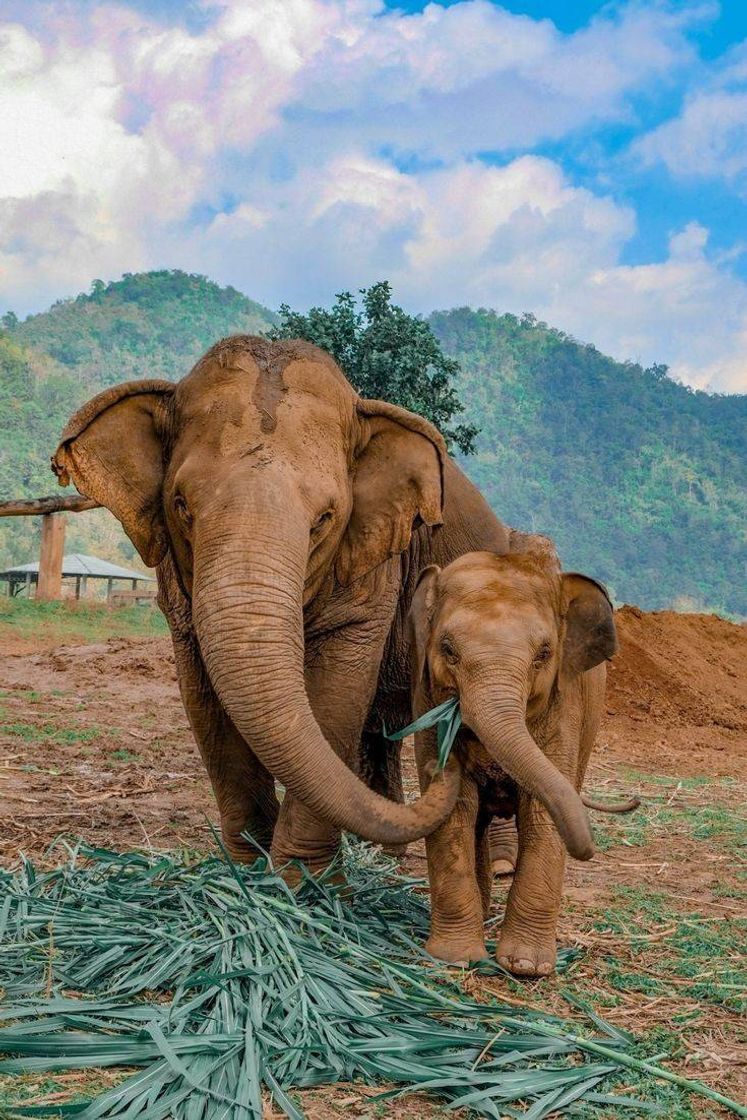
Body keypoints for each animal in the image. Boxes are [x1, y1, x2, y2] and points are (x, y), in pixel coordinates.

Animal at [49, 336, 591, 869]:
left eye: (324, 519)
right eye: (181, 506)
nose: (444, 772)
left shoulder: (373, 564)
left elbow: (336, 693)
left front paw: (303, 881)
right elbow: (203, 698)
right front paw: (247, 871)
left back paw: (493, 864)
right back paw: (385, 854)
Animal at [412, 539, 618, 972]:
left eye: (544, 653)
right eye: (447, 650)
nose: (588, 849)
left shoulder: (564, 707)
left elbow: (542, 816)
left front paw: (525, 968)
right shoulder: (424, 696)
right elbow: (453, 812)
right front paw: (455, 960)